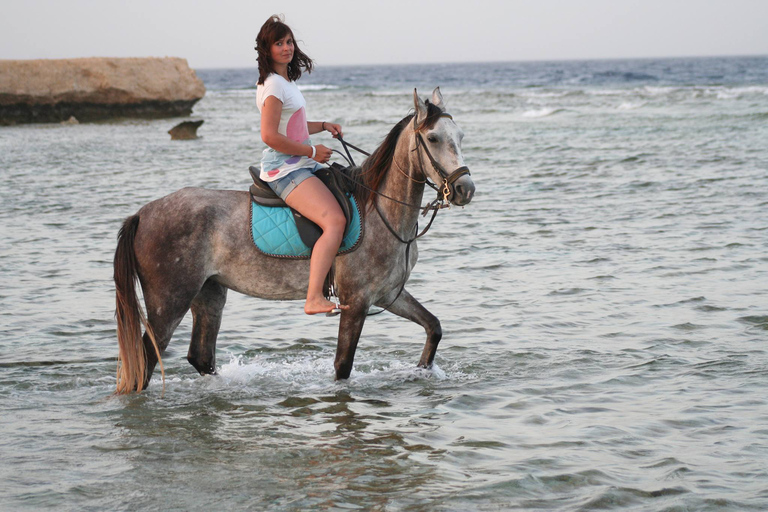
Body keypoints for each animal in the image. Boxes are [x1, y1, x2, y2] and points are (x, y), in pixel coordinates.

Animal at [113, 88, 474, 394]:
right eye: (433, 138)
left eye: (459, 137)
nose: (464, 189)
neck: (381, 210)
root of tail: (142, 214)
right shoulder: (356, 301)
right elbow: (343, 366)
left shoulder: (387, 295)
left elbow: (433, 327)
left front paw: (422, 371)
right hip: (169, 301)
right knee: (147, 360)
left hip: (209, 294)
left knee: (200, 356)